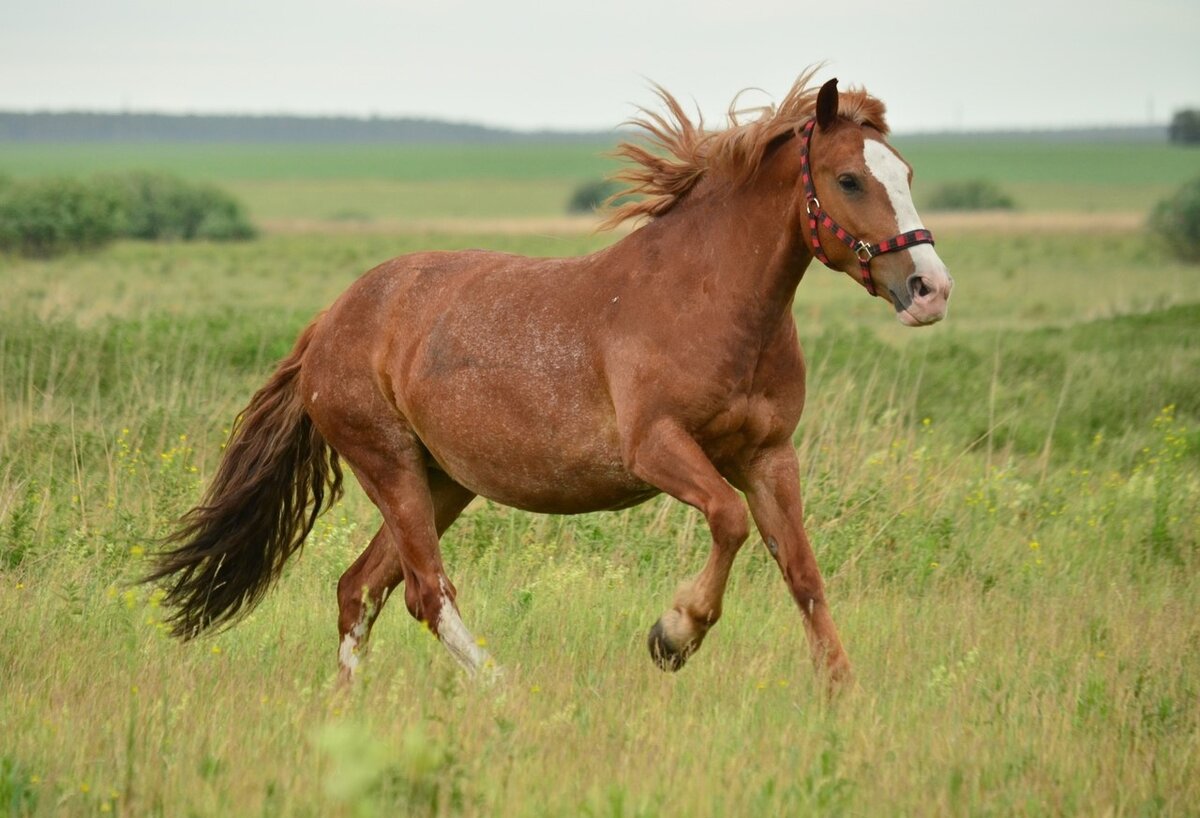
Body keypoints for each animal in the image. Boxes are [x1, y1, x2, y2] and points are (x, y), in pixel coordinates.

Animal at [147, 70, 955, 686]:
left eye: (909, 174)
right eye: (849, 179)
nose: (930, 290)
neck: (707, 302)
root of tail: (330, 319)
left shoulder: (768, 455)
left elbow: (803, 573)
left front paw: (840, 693)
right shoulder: (657, 449)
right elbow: (727, 521)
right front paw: (673, 635)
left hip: (444, 481)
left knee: (360, 590)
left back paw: (346, 711)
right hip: (390, 464)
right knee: (426, 592)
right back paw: (503, 688)